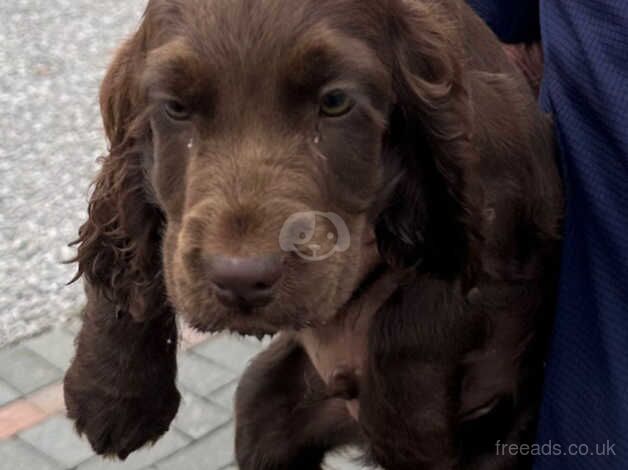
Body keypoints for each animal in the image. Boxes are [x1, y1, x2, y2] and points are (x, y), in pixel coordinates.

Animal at [65, 0, 564, 468]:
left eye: (336, 102)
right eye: (175, 108)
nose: (240, 280)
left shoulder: (506, 210)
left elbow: (424, 308)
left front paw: (405, 425)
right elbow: (128, 250)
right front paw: (111, 396)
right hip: (271, 405)